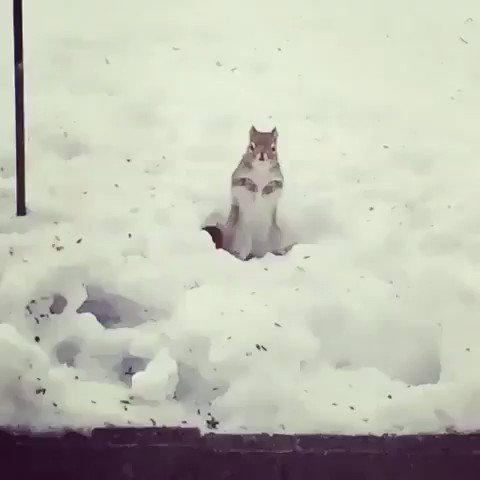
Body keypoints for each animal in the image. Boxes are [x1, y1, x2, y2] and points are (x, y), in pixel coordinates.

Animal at [222, 126, 291, 260]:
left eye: (273, 148)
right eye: (251, 146)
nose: (262, 155)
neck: (260, 169)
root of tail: (257, 250)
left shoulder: (279, 180)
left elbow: (274, 185)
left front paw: (264, 190)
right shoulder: (237, 177)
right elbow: (243, 182)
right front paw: (253, 187)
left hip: (275, 235)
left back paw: (279, 252)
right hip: (241, 238)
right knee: (242, 252)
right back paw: (240, 256)